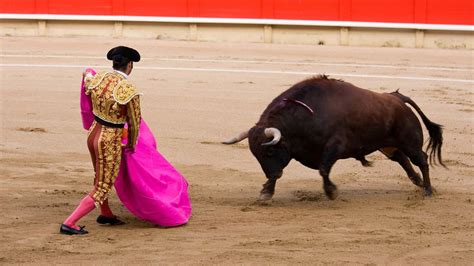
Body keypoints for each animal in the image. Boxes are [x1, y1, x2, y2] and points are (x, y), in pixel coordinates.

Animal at [223, 76, 444, 201]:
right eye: (256, 155)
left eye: (269, 150)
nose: (272, 174)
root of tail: (397, 98)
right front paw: (266, 192)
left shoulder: (335, 146)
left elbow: (323, 169)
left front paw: (331, 192)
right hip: (388, 146)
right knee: (402, 159)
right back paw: (418, 182)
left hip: (409, 141)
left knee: (421, 159)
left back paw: (428, 190)